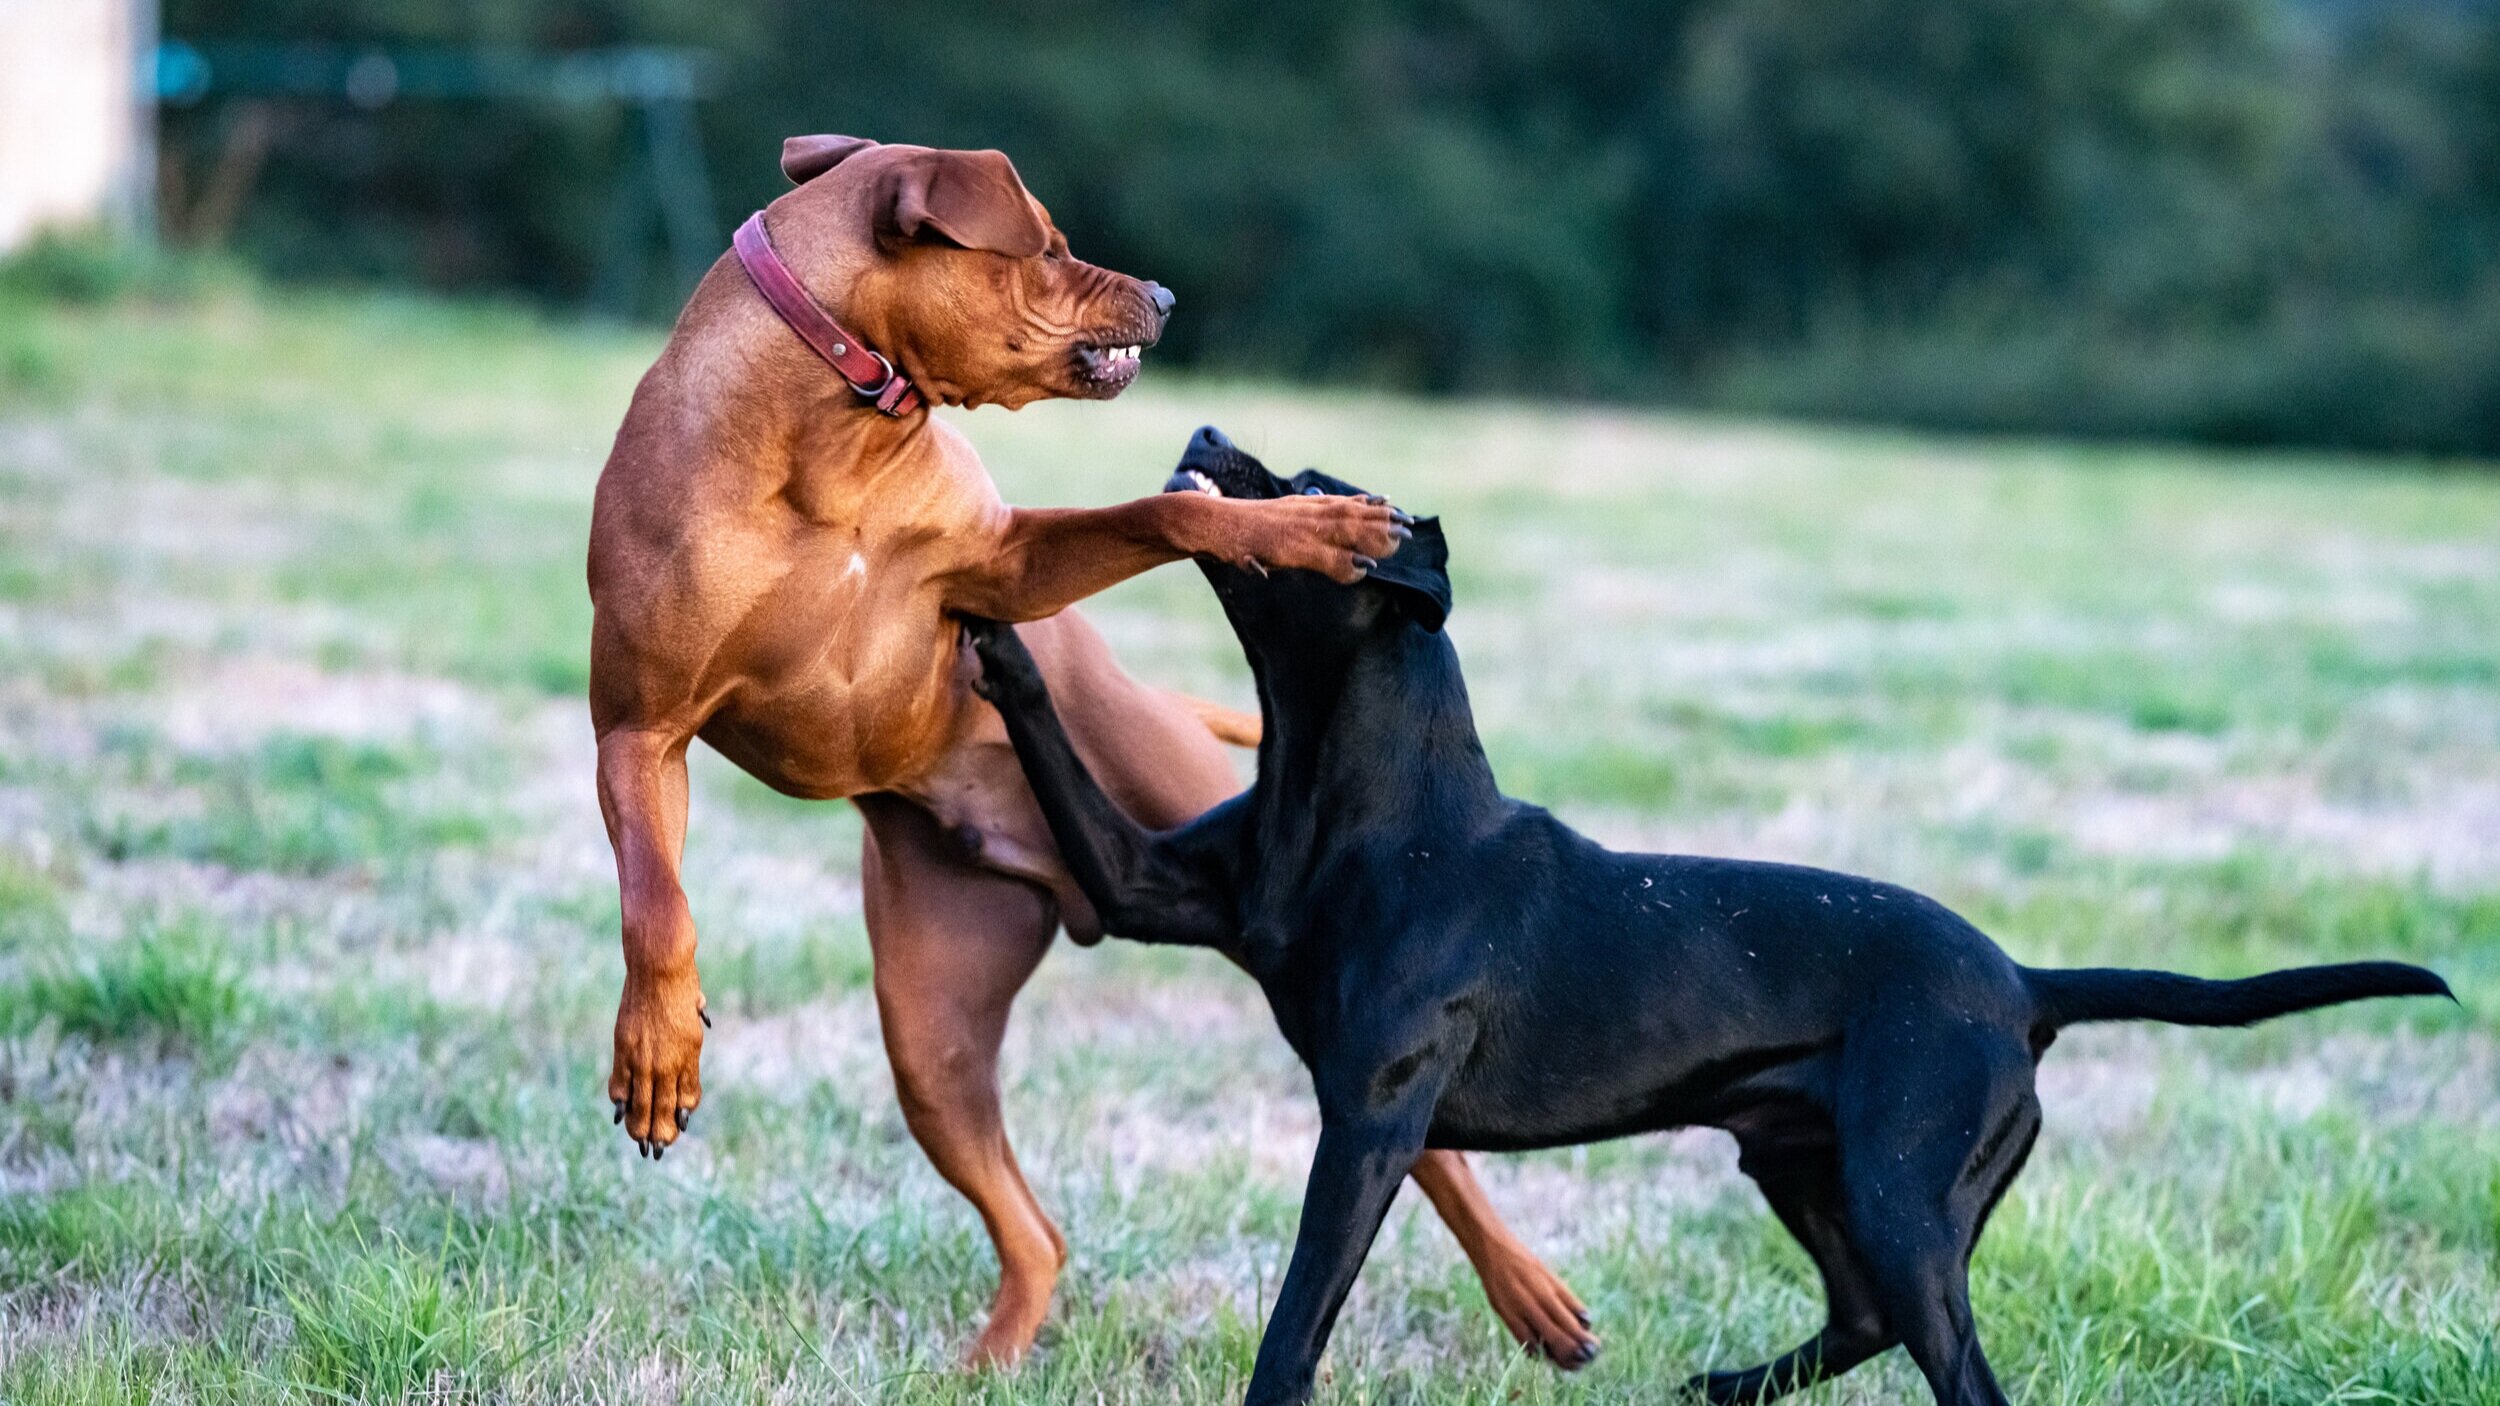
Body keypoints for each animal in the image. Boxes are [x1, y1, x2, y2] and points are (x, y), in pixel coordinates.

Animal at [585, 136, 1600, 1360]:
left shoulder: (1006, 565)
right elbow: (658, 902)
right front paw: (657, 1047)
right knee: (1036, 1230)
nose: (1163, 296)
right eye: (1051, 247)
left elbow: (1167, 513)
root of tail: (1056, 879)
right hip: (931, 1038)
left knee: (1434, 1150)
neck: (833, 434)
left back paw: (1531, 1292)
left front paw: (1303, 527)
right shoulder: (638, 732)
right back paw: (991, 1362)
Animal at [960, 427, 2460, 1400]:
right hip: (1802, 1164)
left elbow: (1297, 1314)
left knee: (1949, 1359)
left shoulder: (1372, 1116)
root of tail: (2027, 983)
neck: (1357, 792)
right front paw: (989, 622)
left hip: (1904, 1193)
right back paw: (1727, 1384)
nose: (1209, 424)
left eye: (1321, 490)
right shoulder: (1149, 888)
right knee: (1861, 1317)